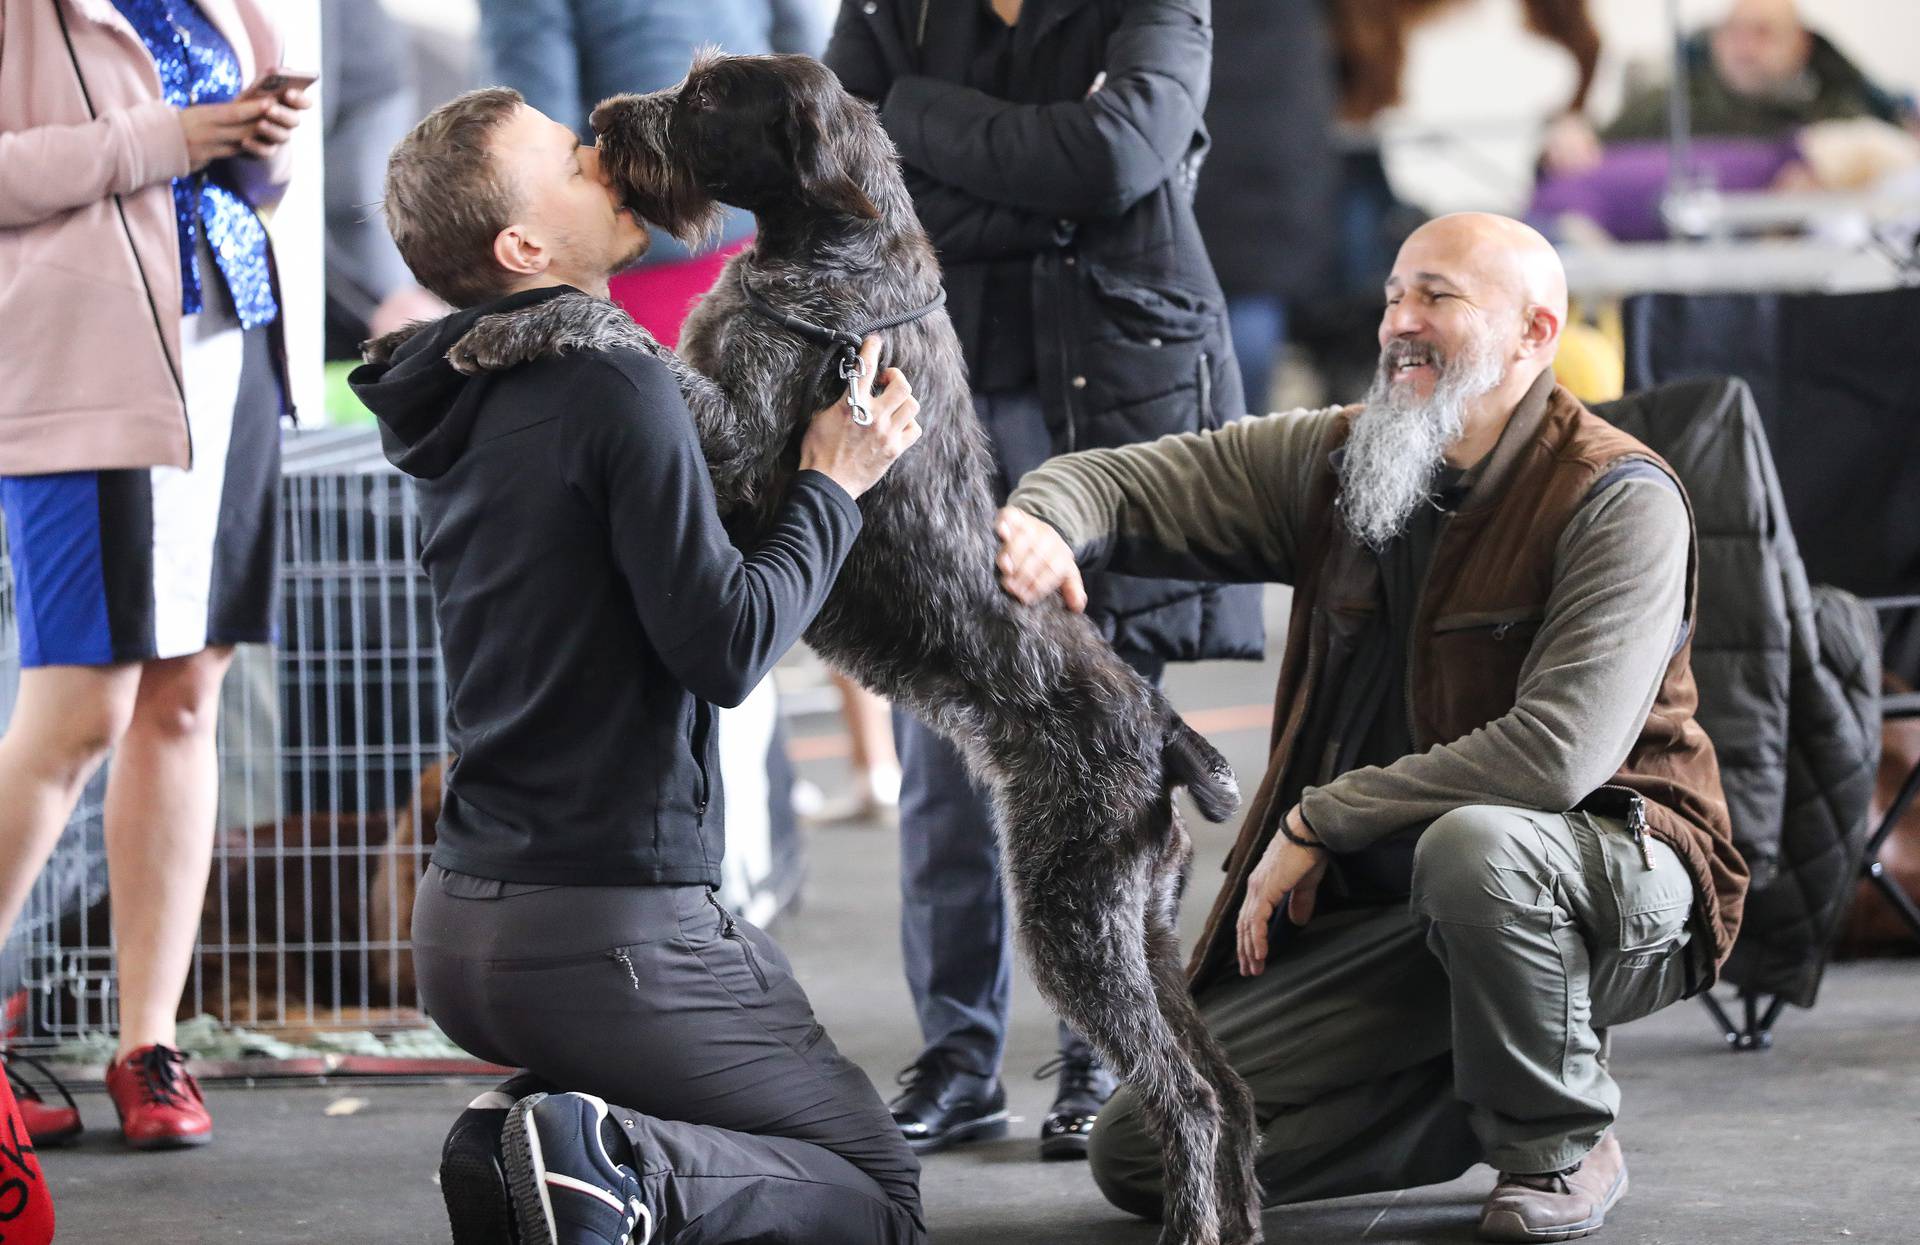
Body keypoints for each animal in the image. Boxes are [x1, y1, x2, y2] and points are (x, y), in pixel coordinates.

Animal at [424, 51, 1259, 1245]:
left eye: (707, 99)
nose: (605, 118)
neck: (834, 244)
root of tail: (1165, 727)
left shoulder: (736, 445)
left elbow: (618, 334)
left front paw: (503, 330)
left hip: (1077, 919)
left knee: (1187, 1095)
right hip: (1141, 925)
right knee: (1230, 1092)